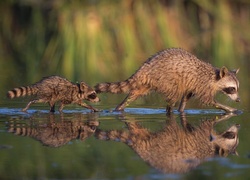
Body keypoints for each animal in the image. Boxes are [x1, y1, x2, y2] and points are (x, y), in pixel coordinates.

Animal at [94, 47, 239, 112]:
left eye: (237, 88)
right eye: (232, 89)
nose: (238, 100)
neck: (214, 77)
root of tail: (146, 67)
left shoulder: (192, 85)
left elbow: (186, 97)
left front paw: (182, 109)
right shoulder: (203, 84)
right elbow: (208, 101)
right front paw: (229, 109)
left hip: (148, 83)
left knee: (134, 94)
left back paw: (120, 107)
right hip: (166, 79)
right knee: (172, 98)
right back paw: (169, 111)